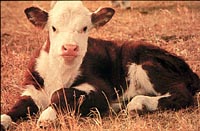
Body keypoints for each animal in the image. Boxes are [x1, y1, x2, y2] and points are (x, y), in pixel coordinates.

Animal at [0, 1, 199, 130]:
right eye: (53, 28)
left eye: (85, 28)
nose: (70, 47)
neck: (60, 72)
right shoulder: (32, 89)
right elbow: (17, 107)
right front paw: (3, 120)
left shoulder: (100, 88)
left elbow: (59, 94)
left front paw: (47, 117)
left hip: (148, 64)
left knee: (182, 95)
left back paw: (138, 104)